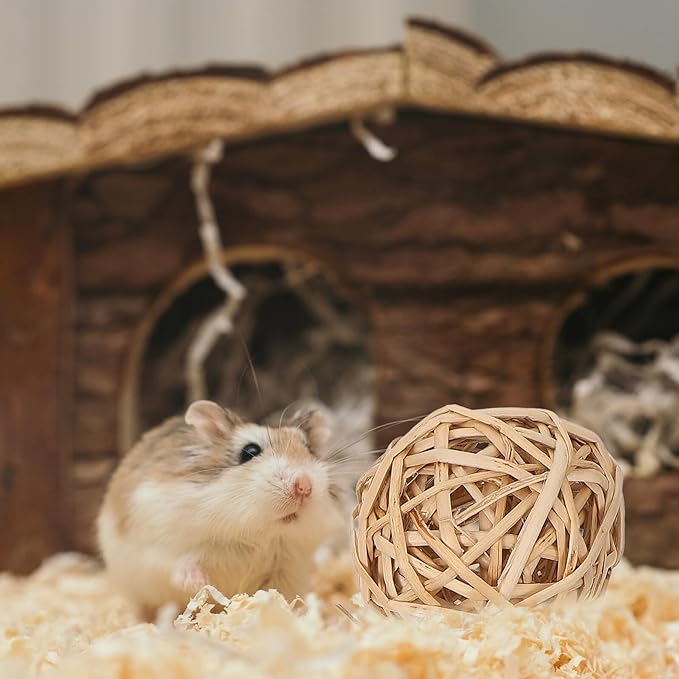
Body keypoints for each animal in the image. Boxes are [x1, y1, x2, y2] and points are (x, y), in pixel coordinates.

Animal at [97, 400, 346, 617]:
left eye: (309, 450)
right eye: (250, 452)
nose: (304, 486)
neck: (257, 534)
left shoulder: (287, 570)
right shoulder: (159, 544)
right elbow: (179, 563)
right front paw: (199, 583)